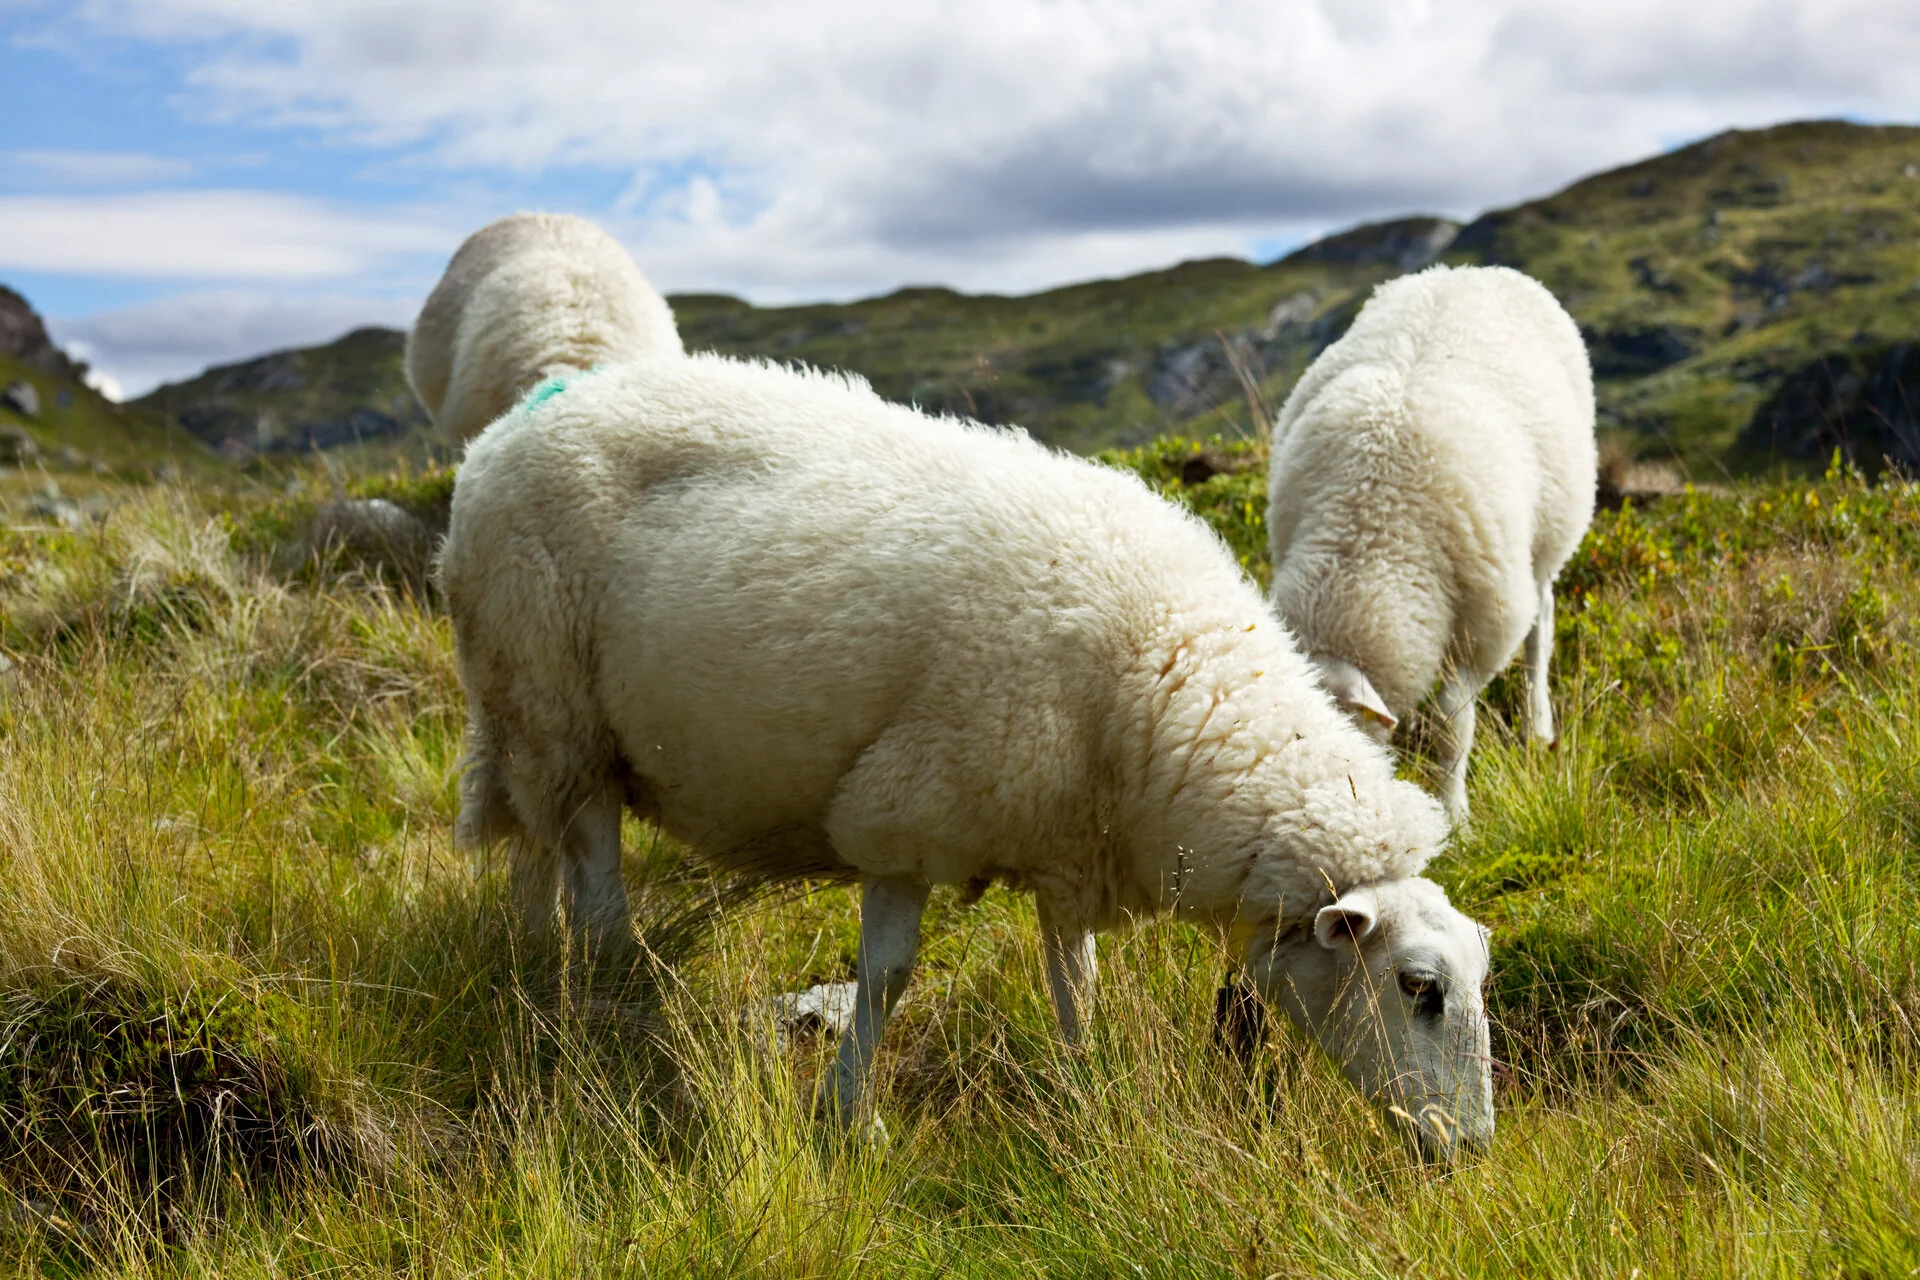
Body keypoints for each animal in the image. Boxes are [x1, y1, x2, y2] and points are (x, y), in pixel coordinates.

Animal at [439, 353, 1496, 1158]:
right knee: (596, 888)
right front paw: (847, 1117)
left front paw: (1085, 1085)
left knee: (540, 858)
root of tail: (498, 439)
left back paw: (533, 971)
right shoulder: (906, 812)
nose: (1470, 1152)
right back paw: (616, 1017)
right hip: (553, 701)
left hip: (535, 725)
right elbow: (888, 978)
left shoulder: (1070, 841)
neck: (1165, 684)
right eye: (1420, 988)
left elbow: (1074, 978)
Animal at [1265, 263, 1597, 823]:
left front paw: (1453, 812)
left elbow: (1451, 724)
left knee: (1542, 626)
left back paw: (1538, 725)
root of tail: (1472, 269)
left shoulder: (1486, 625)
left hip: (1548, 539)